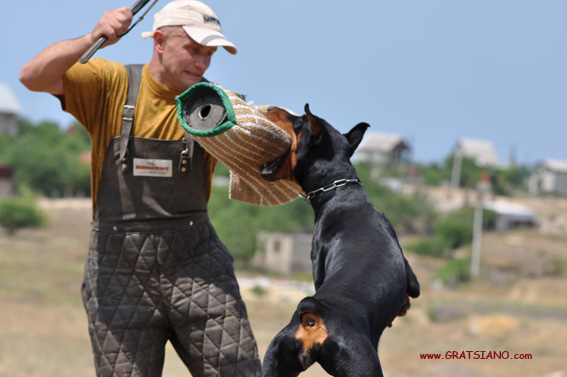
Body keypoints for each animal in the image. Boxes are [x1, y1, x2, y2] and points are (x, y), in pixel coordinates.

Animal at [260, 104, 420, 376]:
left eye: (298, 122)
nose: (270, 108)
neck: (341, 193)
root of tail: (312, 316)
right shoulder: (412, 279)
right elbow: (412, 293)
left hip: (275, 360)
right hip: (363, 366)